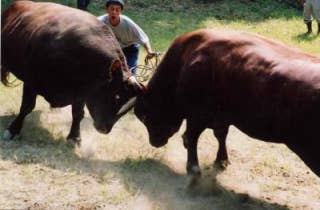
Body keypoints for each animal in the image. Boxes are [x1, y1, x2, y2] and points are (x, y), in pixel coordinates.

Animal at [0, 0, 142, 144]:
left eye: (129, 107)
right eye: (116, 96)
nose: (105, 129)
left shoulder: (81, 92)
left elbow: (78, 114)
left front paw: (74, 136)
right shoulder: (31, 81)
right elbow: (27, 106)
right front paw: (13, 130)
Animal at [134, 28, 320, 176]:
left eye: (145, 115)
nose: (155, 141)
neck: (184, 60)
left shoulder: (197, 114)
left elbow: (190, 138)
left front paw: (193, 167)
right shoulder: (220, 117)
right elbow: (220, 135)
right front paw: (221, 160)